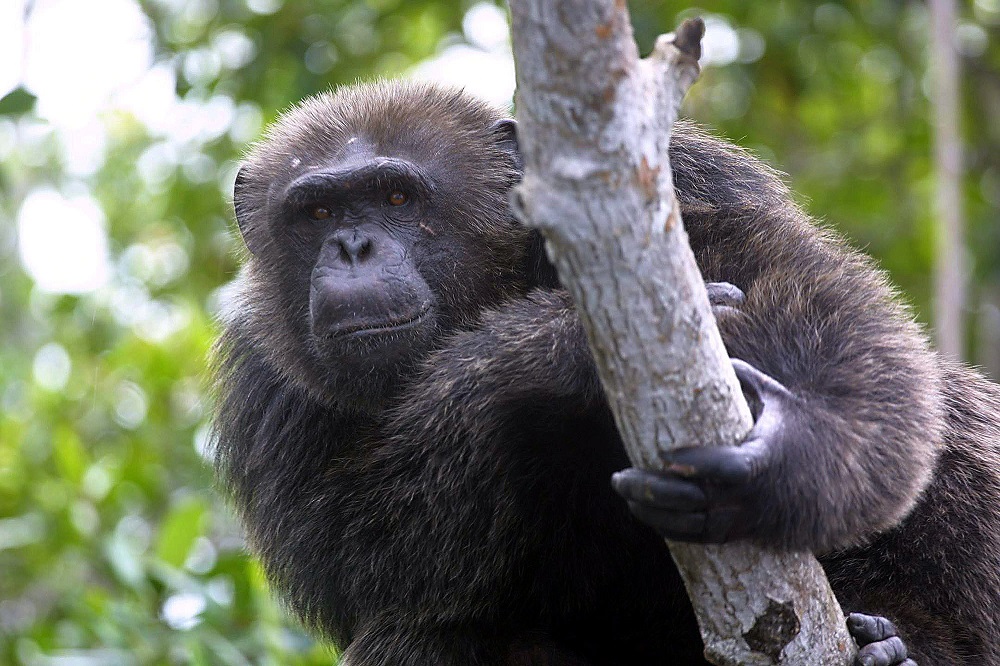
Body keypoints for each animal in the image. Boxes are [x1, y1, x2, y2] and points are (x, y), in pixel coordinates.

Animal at [212, 80, 1000, 665]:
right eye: (316, 211)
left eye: (397, 196)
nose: (353, 246)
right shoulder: (263, 381)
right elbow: (355, 553)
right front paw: (553, 353)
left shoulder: (687, 185)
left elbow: (820, 303)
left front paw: (788, 447)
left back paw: (905, 645)